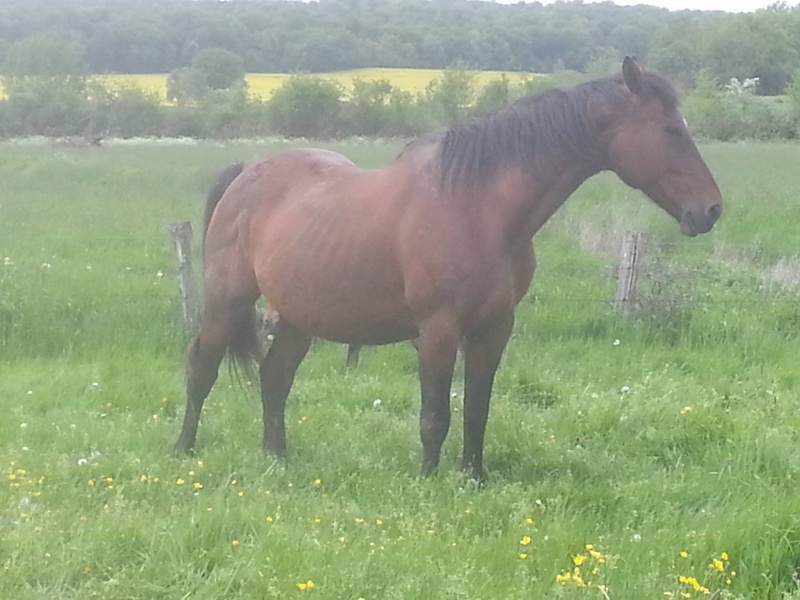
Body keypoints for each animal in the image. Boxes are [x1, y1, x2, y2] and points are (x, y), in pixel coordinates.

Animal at [177, 57, 724, 478]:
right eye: (670, 130)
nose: (712, 210)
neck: (477, 206)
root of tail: (247, 171)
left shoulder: (494, 327)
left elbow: (477, 408)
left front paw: (473, 476)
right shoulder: (438, 329)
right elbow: (434, 413)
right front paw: (428, 480)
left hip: (298, 317)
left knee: (274, 379)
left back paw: (278, 457)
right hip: (228, 301)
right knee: (202, 367)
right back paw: (184, 450)